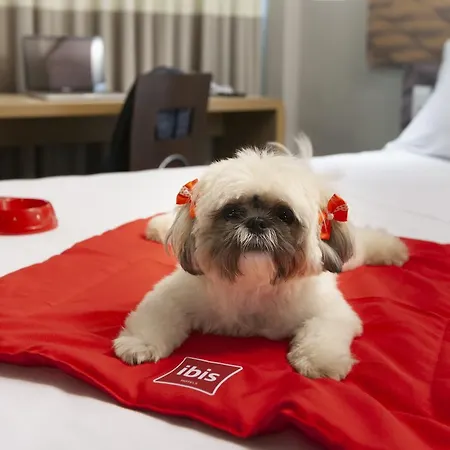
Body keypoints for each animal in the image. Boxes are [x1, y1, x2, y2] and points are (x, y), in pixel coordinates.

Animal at [114, 142, 408, 380]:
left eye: (284, 215)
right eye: (231, 212)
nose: (256, 222)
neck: (254, 284)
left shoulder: (329, 311)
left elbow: (323, 332)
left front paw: (320, 361)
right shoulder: (174, 294)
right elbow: (156, 315)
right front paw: (139, 343)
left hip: (351, 258)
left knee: (366, 241)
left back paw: (392, 249)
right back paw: (158, 226)